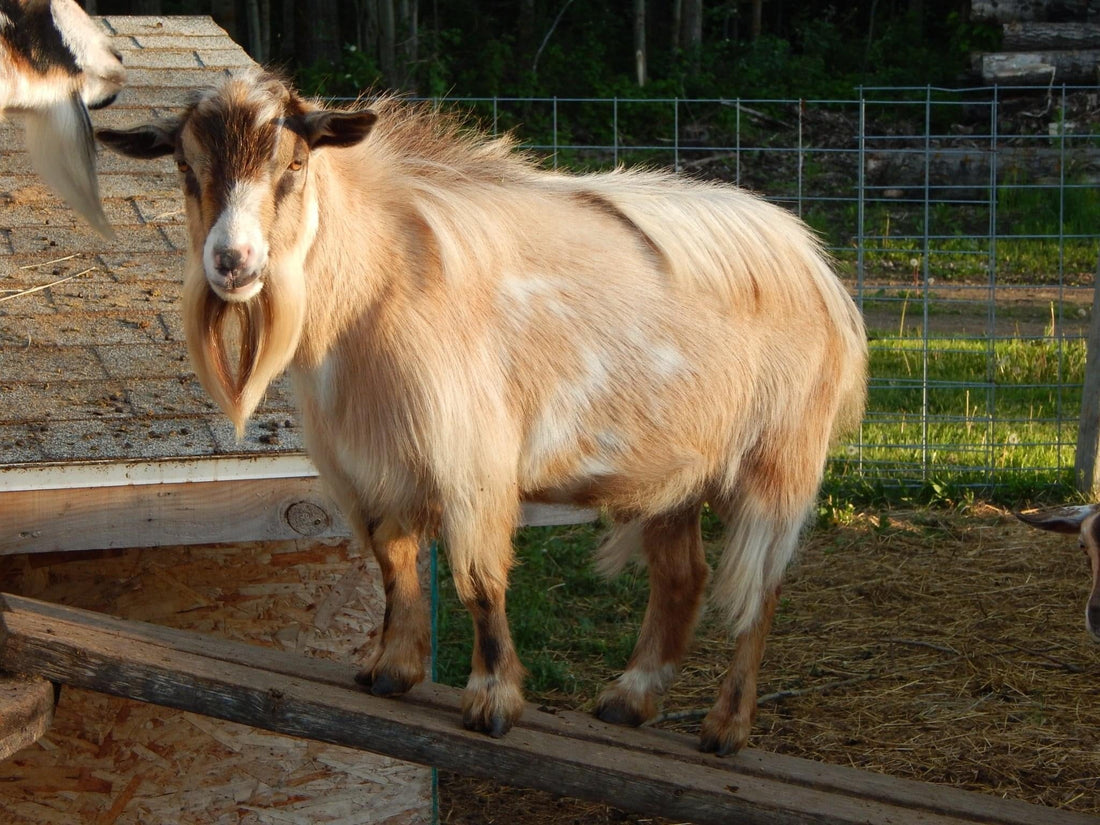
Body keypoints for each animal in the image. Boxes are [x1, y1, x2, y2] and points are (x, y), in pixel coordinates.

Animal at [98, 69, 868, 755]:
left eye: (293, 162)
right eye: (185, 166)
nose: (233, 262)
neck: (374, 285)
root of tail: (816, 265)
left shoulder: (470, 455)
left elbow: (477, 578)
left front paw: (492, 699)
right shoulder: (370, 461)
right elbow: (393, 558)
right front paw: (391, 669)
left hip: (781, 461)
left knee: (759, 589)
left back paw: (726, 728)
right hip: (674, 468)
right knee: (684, 577)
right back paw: (630, 698)